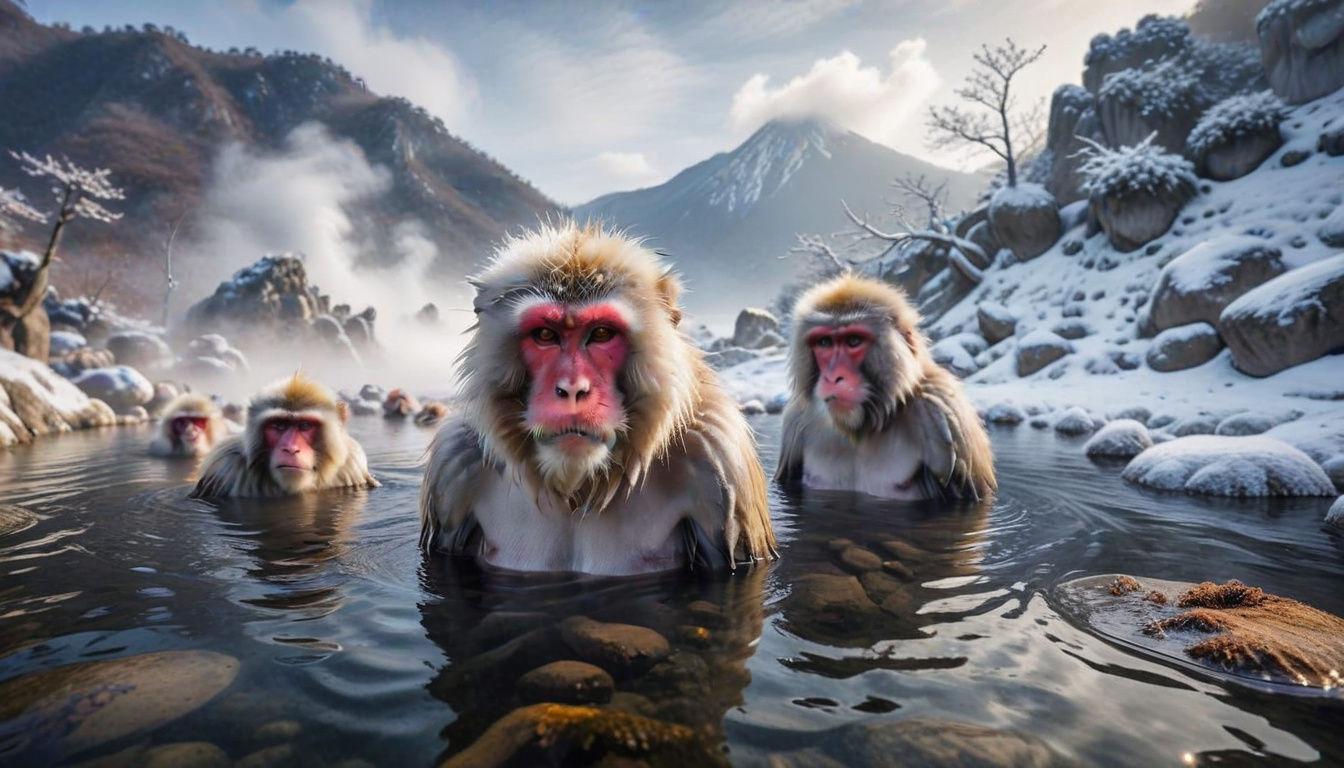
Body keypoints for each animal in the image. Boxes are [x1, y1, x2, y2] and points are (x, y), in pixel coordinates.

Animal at [420, 221, 776, 576]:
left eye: (602, 333)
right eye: (545, 335)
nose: (572, 390)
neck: (578, 488)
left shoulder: (719, 461)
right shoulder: (451, 467)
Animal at [775, 274, 995, 501]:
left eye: (854, 340)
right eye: (825, 342)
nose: (833, 377)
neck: (863, 425)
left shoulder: (943, 411)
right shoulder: (795, 419)